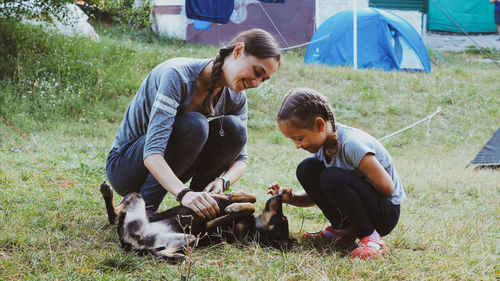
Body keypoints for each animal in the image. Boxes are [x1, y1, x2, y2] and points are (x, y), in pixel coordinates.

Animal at [100, 180, 294, 262]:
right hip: (136, 197)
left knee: (158, 252)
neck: (252, 227)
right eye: (283, 217)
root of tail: (131, 241)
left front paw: (234, 207)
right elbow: (252, 199)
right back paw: (107, 192)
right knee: (115, 215)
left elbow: (250, 207)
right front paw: (236, 198)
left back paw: (176, 257)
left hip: (190, 238)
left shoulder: (210, 225)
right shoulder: (211, 195)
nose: (280, 195)